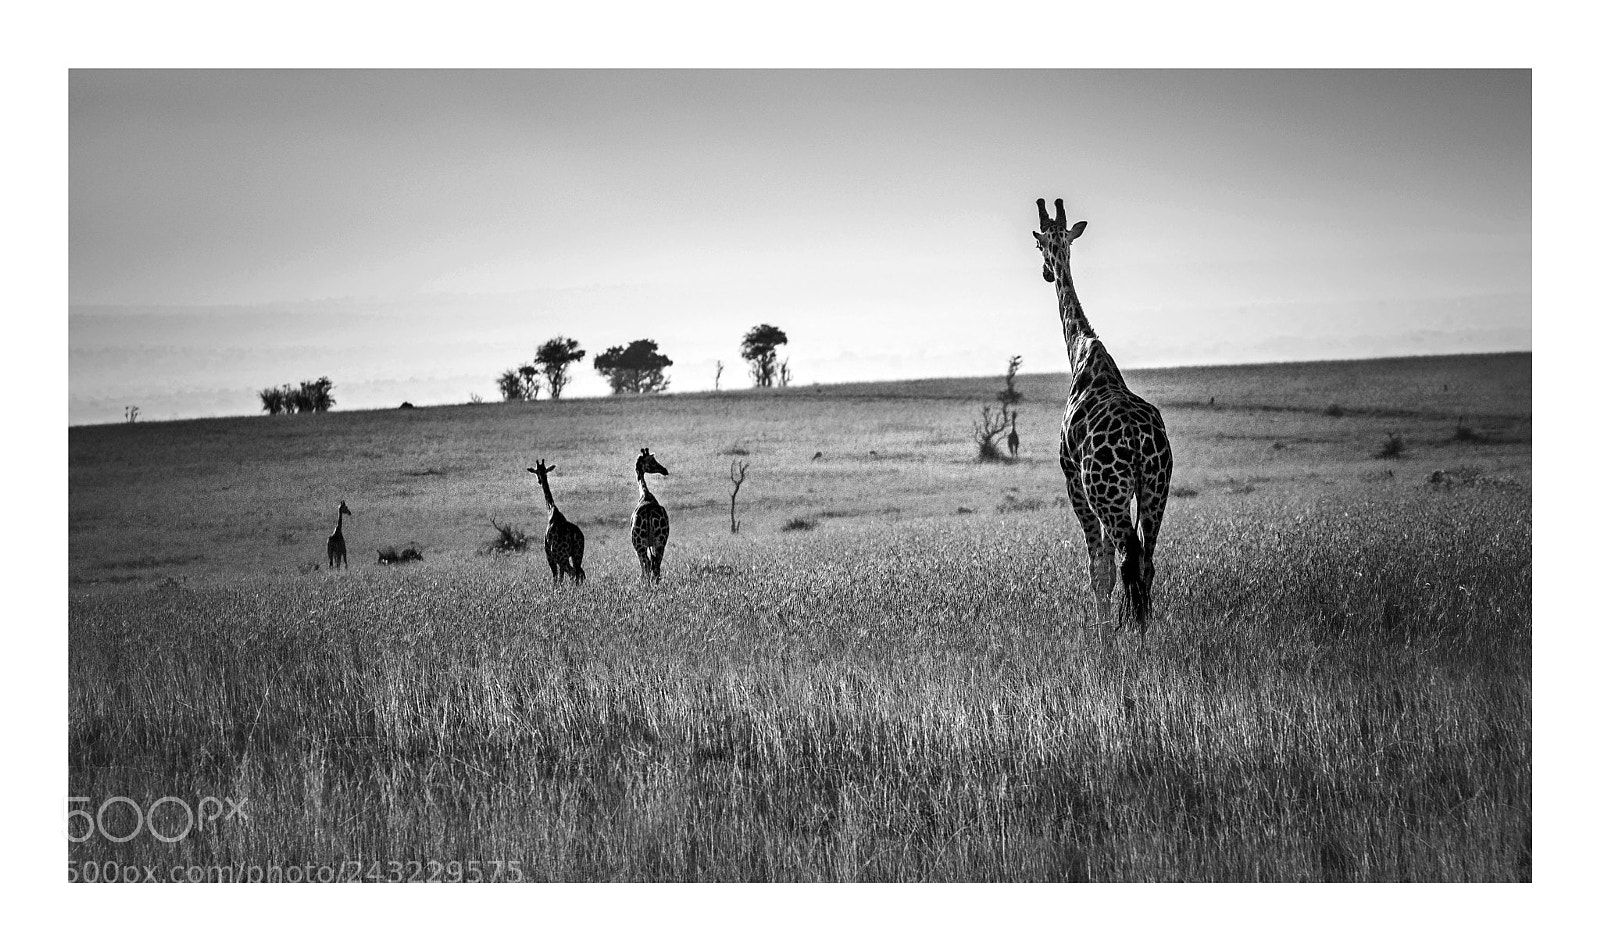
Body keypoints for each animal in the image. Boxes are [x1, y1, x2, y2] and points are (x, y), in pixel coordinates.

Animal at [630, 448, 671, 583]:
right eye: (652, 461)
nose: (664, 470)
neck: (645, 494)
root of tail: (649, 513)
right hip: (660, 540)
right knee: (655, 563)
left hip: (640, 543)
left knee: (648, 563)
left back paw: (647, 583)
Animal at [1033, 199, 1172, 629]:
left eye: (1038, 244)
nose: (1046, 271)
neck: (1081, 349)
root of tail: (1140, 443)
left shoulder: (1073, 482)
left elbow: (1099, 571)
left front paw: (1105, 641)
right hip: (1155, 489)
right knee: (1147, 563)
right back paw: (1145, 638)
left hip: (1107, 493)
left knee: (1127, 562)